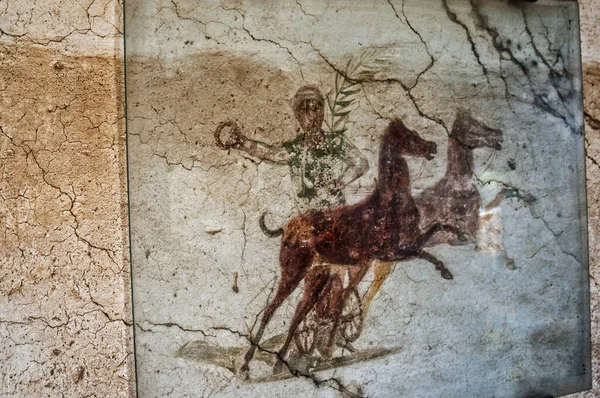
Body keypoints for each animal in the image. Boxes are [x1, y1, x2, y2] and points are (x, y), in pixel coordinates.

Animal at [240, 119, 464, 374]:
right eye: (408, 136)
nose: (432, 147)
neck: (390, 202)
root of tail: (285, 229)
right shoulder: (391, 252)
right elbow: (424, 252)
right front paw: (445, 270)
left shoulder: (405, 244)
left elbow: (437, 227)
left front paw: (460, 234)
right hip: (293, 272)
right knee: (272, 309)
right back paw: (248, 362)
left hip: (317, 278)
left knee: (300, 313)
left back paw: (282, 362)